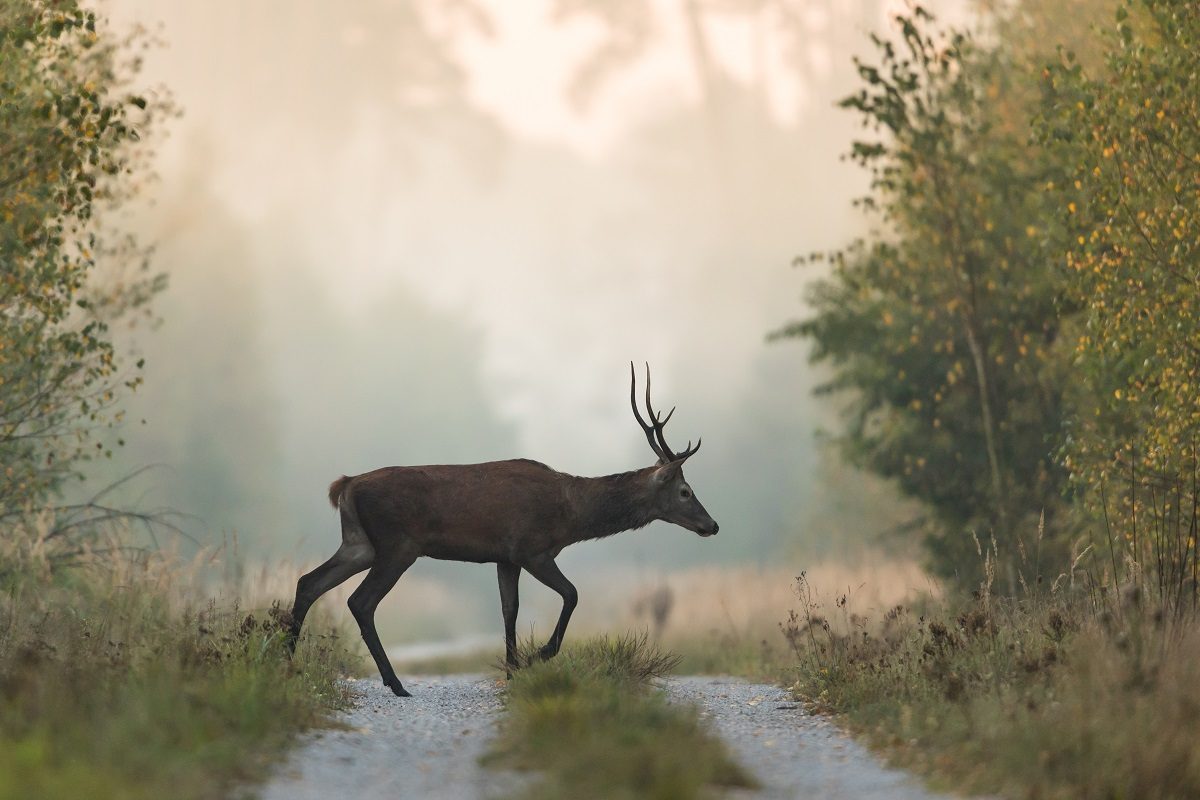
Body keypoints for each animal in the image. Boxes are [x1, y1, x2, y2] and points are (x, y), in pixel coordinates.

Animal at [285, 362, 715, 695]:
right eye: (685, 491)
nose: (712, 525)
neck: (572, 514)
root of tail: (345, 485)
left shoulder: (504, 557)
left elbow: (510, 609)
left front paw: (512, 670)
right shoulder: (533, 548)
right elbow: (571, 594)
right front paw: (538, 655)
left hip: (359, 543)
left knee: (309, 582)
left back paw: (286, 660)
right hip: (397, 544)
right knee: (361, 601)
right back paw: (395, 683)